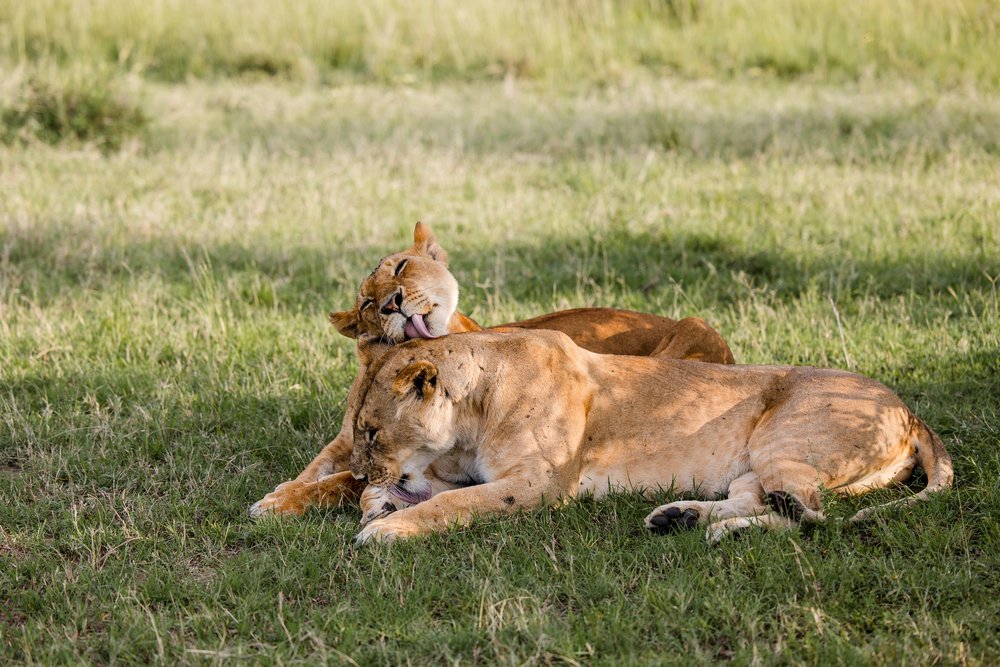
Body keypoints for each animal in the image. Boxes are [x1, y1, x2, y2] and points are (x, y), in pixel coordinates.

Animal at [250, 224, 736, 516]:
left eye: (402, 267)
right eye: (368, 303)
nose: (391, 303)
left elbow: (345, 481)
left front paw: (279, 503)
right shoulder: (345, 441)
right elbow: (316, 470)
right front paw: (283, 493)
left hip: (691, 326)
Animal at [352, 328, 952, 544]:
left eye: (372, 432)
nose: (358, 469)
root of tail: (910, 410)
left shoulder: (537, 485)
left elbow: (453, 504)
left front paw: (384, 528)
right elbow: (435, 491)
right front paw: (376, 502)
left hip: (782, 440)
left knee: (808, 514)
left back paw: (717, 532)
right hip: (756, 464)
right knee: (763, 500)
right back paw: (680, 519)